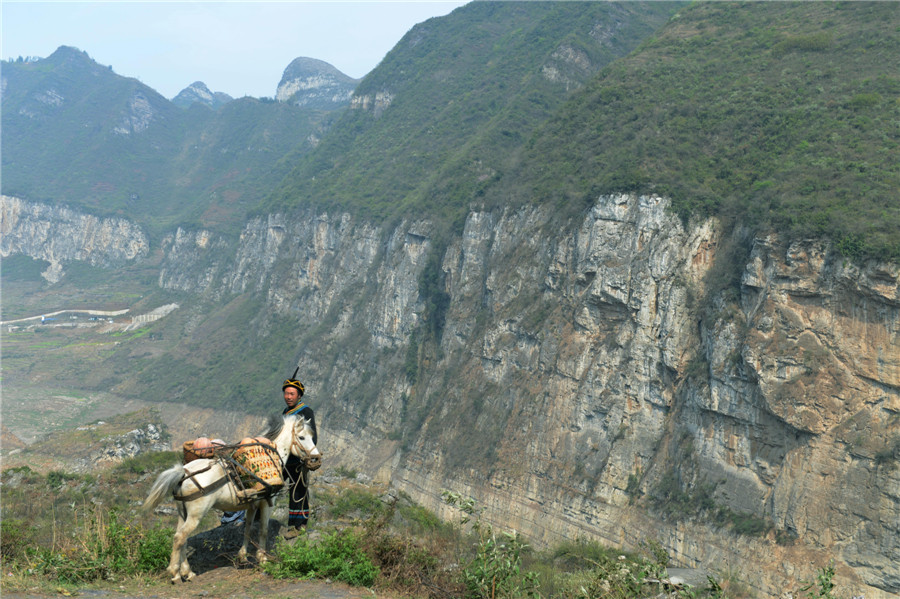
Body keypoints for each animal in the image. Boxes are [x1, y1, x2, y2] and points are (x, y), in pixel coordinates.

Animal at [142, 414, 322, 584]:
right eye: (302, 437)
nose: (316, 459)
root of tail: (183, 473)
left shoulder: (252, 505)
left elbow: (248, 528)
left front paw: (242, 556)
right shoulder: (266, 503)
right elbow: (263, 530)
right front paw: (262, 559)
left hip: (183, 513)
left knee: (181, 538)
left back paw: (187, 572)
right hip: (196, 514)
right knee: (180, 537)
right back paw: (175, 573)